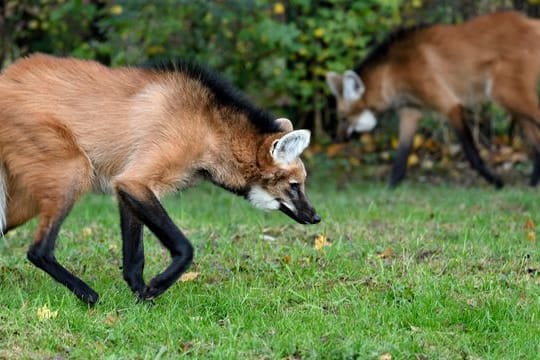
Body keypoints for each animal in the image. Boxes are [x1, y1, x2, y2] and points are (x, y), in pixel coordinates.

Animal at [0, 53, 320, 304]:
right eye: (295, 186)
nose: (315, 217)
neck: (209, 131)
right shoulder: (136, 181)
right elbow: (185, 248)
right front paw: (155, 287)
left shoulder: (126, 185)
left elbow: (134, 258)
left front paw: (140, 296)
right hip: (74, 170)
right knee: (39, 251)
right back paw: (88, 295)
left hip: (26, 200)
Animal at [326, 10, 540, 188]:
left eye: (344, 118)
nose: (337, 139)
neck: (392, 73)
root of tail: (530, 22)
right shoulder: (411, 111)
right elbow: (400, 157)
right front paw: (389, 190)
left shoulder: (450, 105)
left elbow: (472, 155)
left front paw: (497, 182)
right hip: (512, 101)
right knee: (535, 141)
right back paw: (532, 184)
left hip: (504, 93)